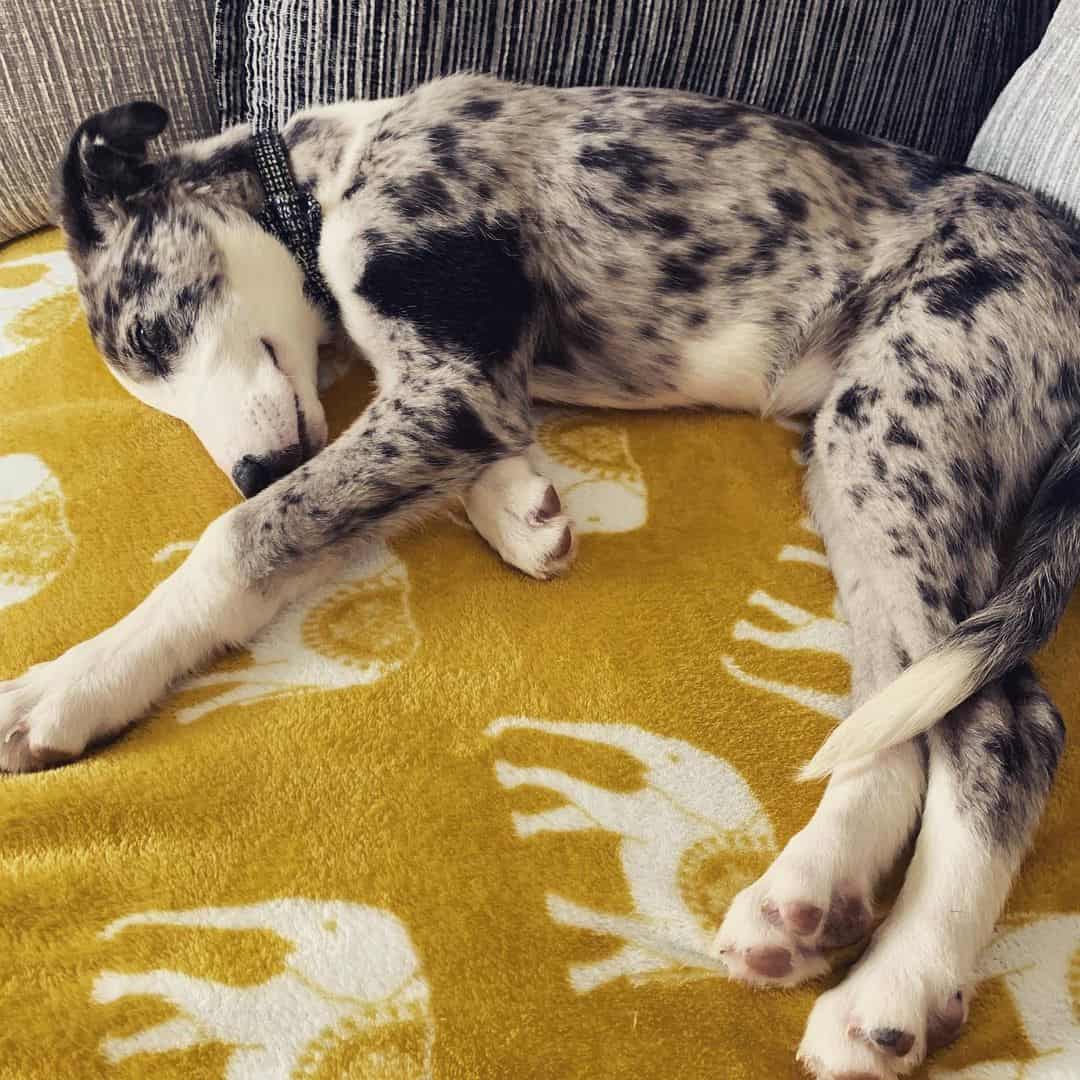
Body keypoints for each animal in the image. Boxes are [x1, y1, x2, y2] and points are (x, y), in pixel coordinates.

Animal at [6, 71, 1080, 1075]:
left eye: (154, 332)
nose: (254, 468)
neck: (329, 171)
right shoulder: (467, 390)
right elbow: (469, 449)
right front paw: (520, 510)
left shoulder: (451, 386)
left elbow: (241, 539)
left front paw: (73, 682)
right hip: (854, 463)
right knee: (898, 716)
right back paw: (811, 897)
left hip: (899, 417)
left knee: (1005, 725)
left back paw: (894, 989)